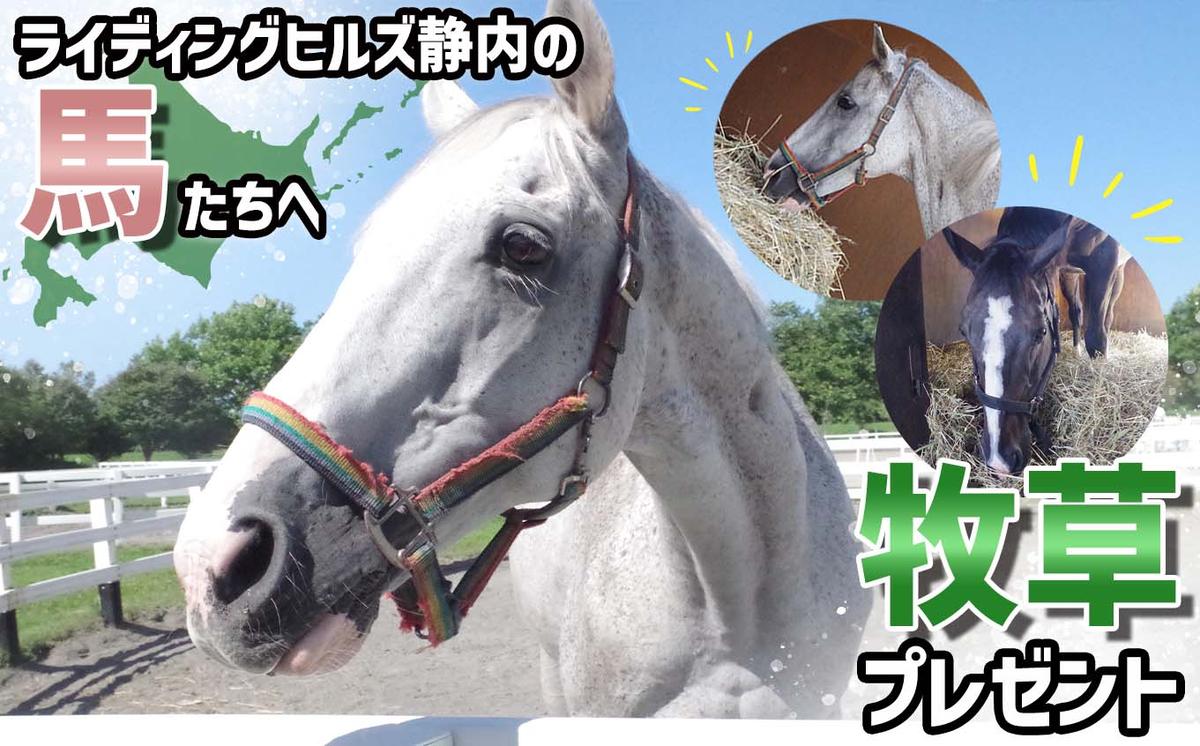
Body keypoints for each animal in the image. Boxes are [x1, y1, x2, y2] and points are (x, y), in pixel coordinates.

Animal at [941, 207, 1127, 474]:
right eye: (964, 331)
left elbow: (1097, 338)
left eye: (1040, 333)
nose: (999, 460)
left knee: (1106, 316)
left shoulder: (1105, 261)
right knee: (1077, 311)